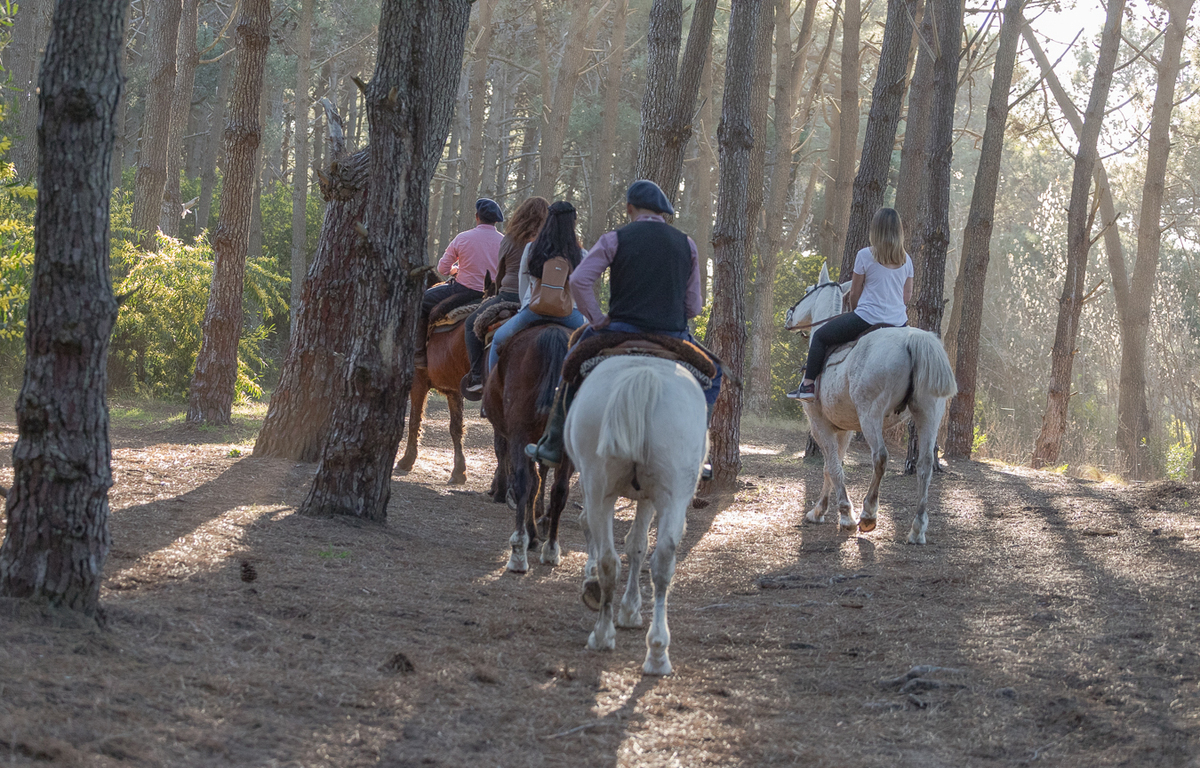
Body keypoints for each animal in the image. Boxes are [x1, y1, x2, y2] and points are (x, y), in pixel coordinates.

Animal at [393, 304, 468, 480]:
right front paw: (459, 470)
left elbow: (414, 420)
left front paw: (407, 460)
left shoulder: (418, 382)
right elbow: (456, 427)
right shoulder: (453, 390)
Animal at [489, 321, 578, 571]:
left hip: (520, 434)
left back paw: (518, 551)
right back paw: (551, 549)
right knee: (559, 490)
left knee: (524, 482)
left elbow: (530, 482)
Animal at [564, 355, 710, 672]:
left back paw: (603, 634)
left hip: (600, 490)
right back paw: (657, 652)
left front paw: (619, 605)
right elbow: (638, 546)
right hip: (673, 495)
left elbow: (625, 543)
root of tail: (644, 373)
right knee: (663, 561)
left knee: (609, 560)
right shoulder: (649, 498)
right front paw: (629, 610)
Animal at [782, 264, 960, 547]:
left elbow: (833, 467)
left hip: (870, 415)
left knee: (881, 457)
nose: (788, 316)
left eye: (808, 290)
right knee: (924, 465)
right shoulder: (843, 429)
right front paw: (819, 510)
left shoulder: (820, 424)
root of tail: (912, 339)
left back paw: (868, 514)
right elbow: (831, 467)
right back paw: (917, 529)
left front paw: (845, 515)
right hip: (929, 414)